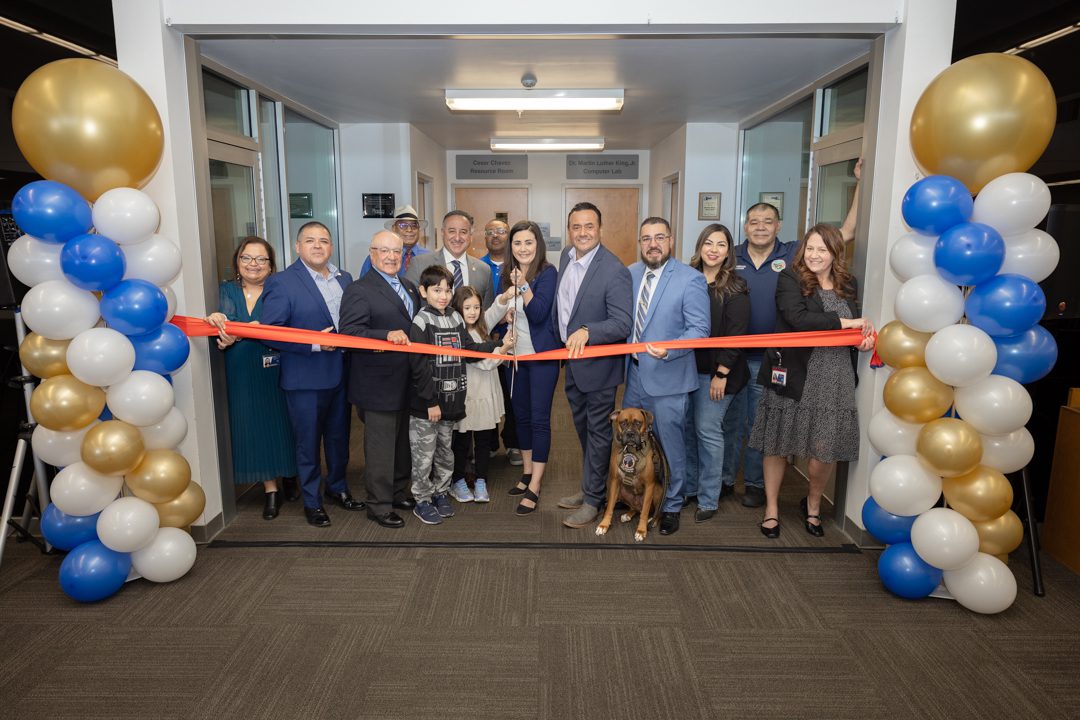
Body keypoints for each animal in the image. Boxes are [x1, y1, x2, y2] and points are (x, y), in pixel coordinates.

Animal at [596, 410, 669, 539]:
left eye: (638, 423)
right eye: (623, 423)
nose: (630, 433)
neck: (632, 449)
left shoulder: (650, 485)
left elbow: (644, 512)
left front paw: (641, 530)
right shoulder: (615, 481)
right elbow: (609, 507)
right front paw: (604, 525)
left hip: (658, 491)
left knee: (654, 511)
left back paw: (653, 520)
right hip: (621, 492)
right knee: (636, 509)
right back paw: (628, 515)